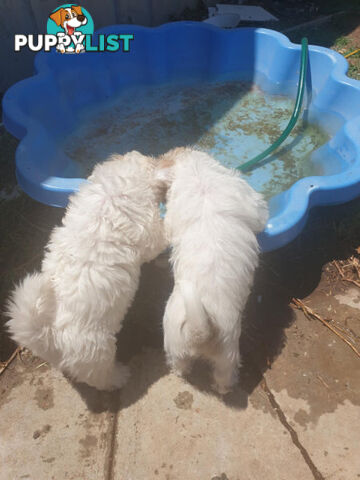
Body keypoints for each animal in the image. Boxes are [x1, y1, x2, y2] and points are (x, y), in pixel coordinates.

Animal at [6, 152, 167, 392]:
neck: (113, 189)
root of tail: (48, 337)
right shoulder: (148, 233)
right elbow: (161, 234)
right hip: (96, 353)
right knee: (99, 378)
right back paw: (120, 376)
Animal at [156, 147, 268, 394]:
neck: (198, 173)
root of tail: (200, 333)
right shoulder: (251, 201)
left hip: (176, 344)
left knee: (180, 365)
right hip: (228, 355)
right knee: (223, 378)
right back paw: (224, 388)